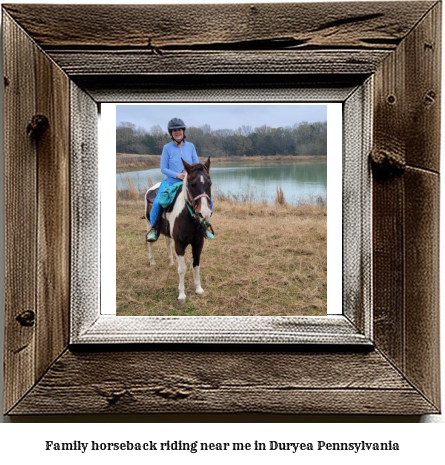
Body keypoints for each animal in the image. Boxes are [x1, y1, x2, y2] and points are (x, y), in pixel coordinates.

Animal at [143, 156, 211, 302]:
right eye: (192, 184)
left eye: (210, 183)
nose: (204, 213)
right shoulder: (180, 244)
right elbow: (182, 269)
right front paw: (181, 295)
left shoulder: (198, 243)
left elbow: (196, 265)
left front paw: (198, 289)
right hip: (149, 224)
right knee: (150, 243)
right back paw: (152, 262)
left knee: (168, 243)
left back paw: (170, 261)